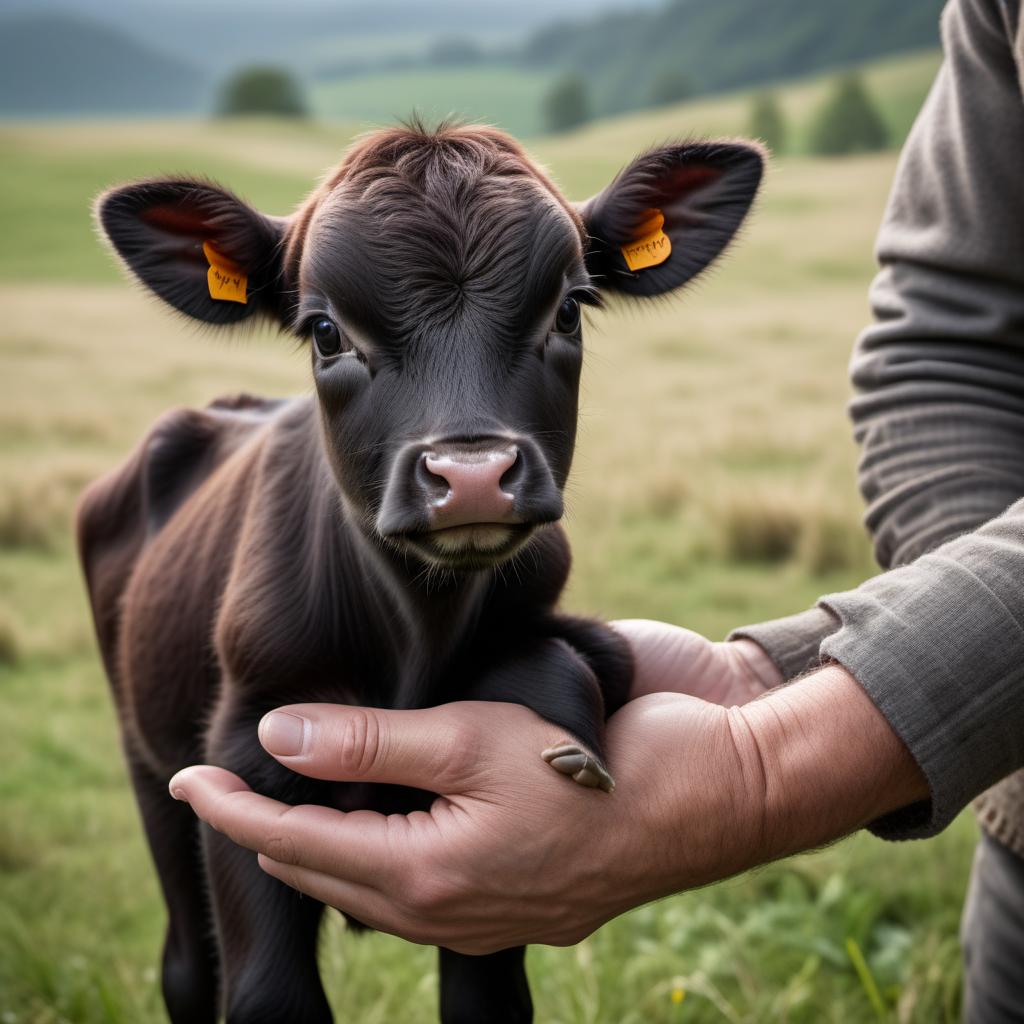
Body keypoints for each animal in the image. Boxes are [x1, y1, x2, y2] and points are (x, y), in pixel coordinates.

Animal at [77, 121, 761, 1024]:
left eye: (569, 308)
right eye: (325, 331)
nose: (471, 475)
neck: (415, 635)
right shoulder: (238, 761)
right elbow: (268, 994)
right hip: (147, 763)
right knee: (188, 966)